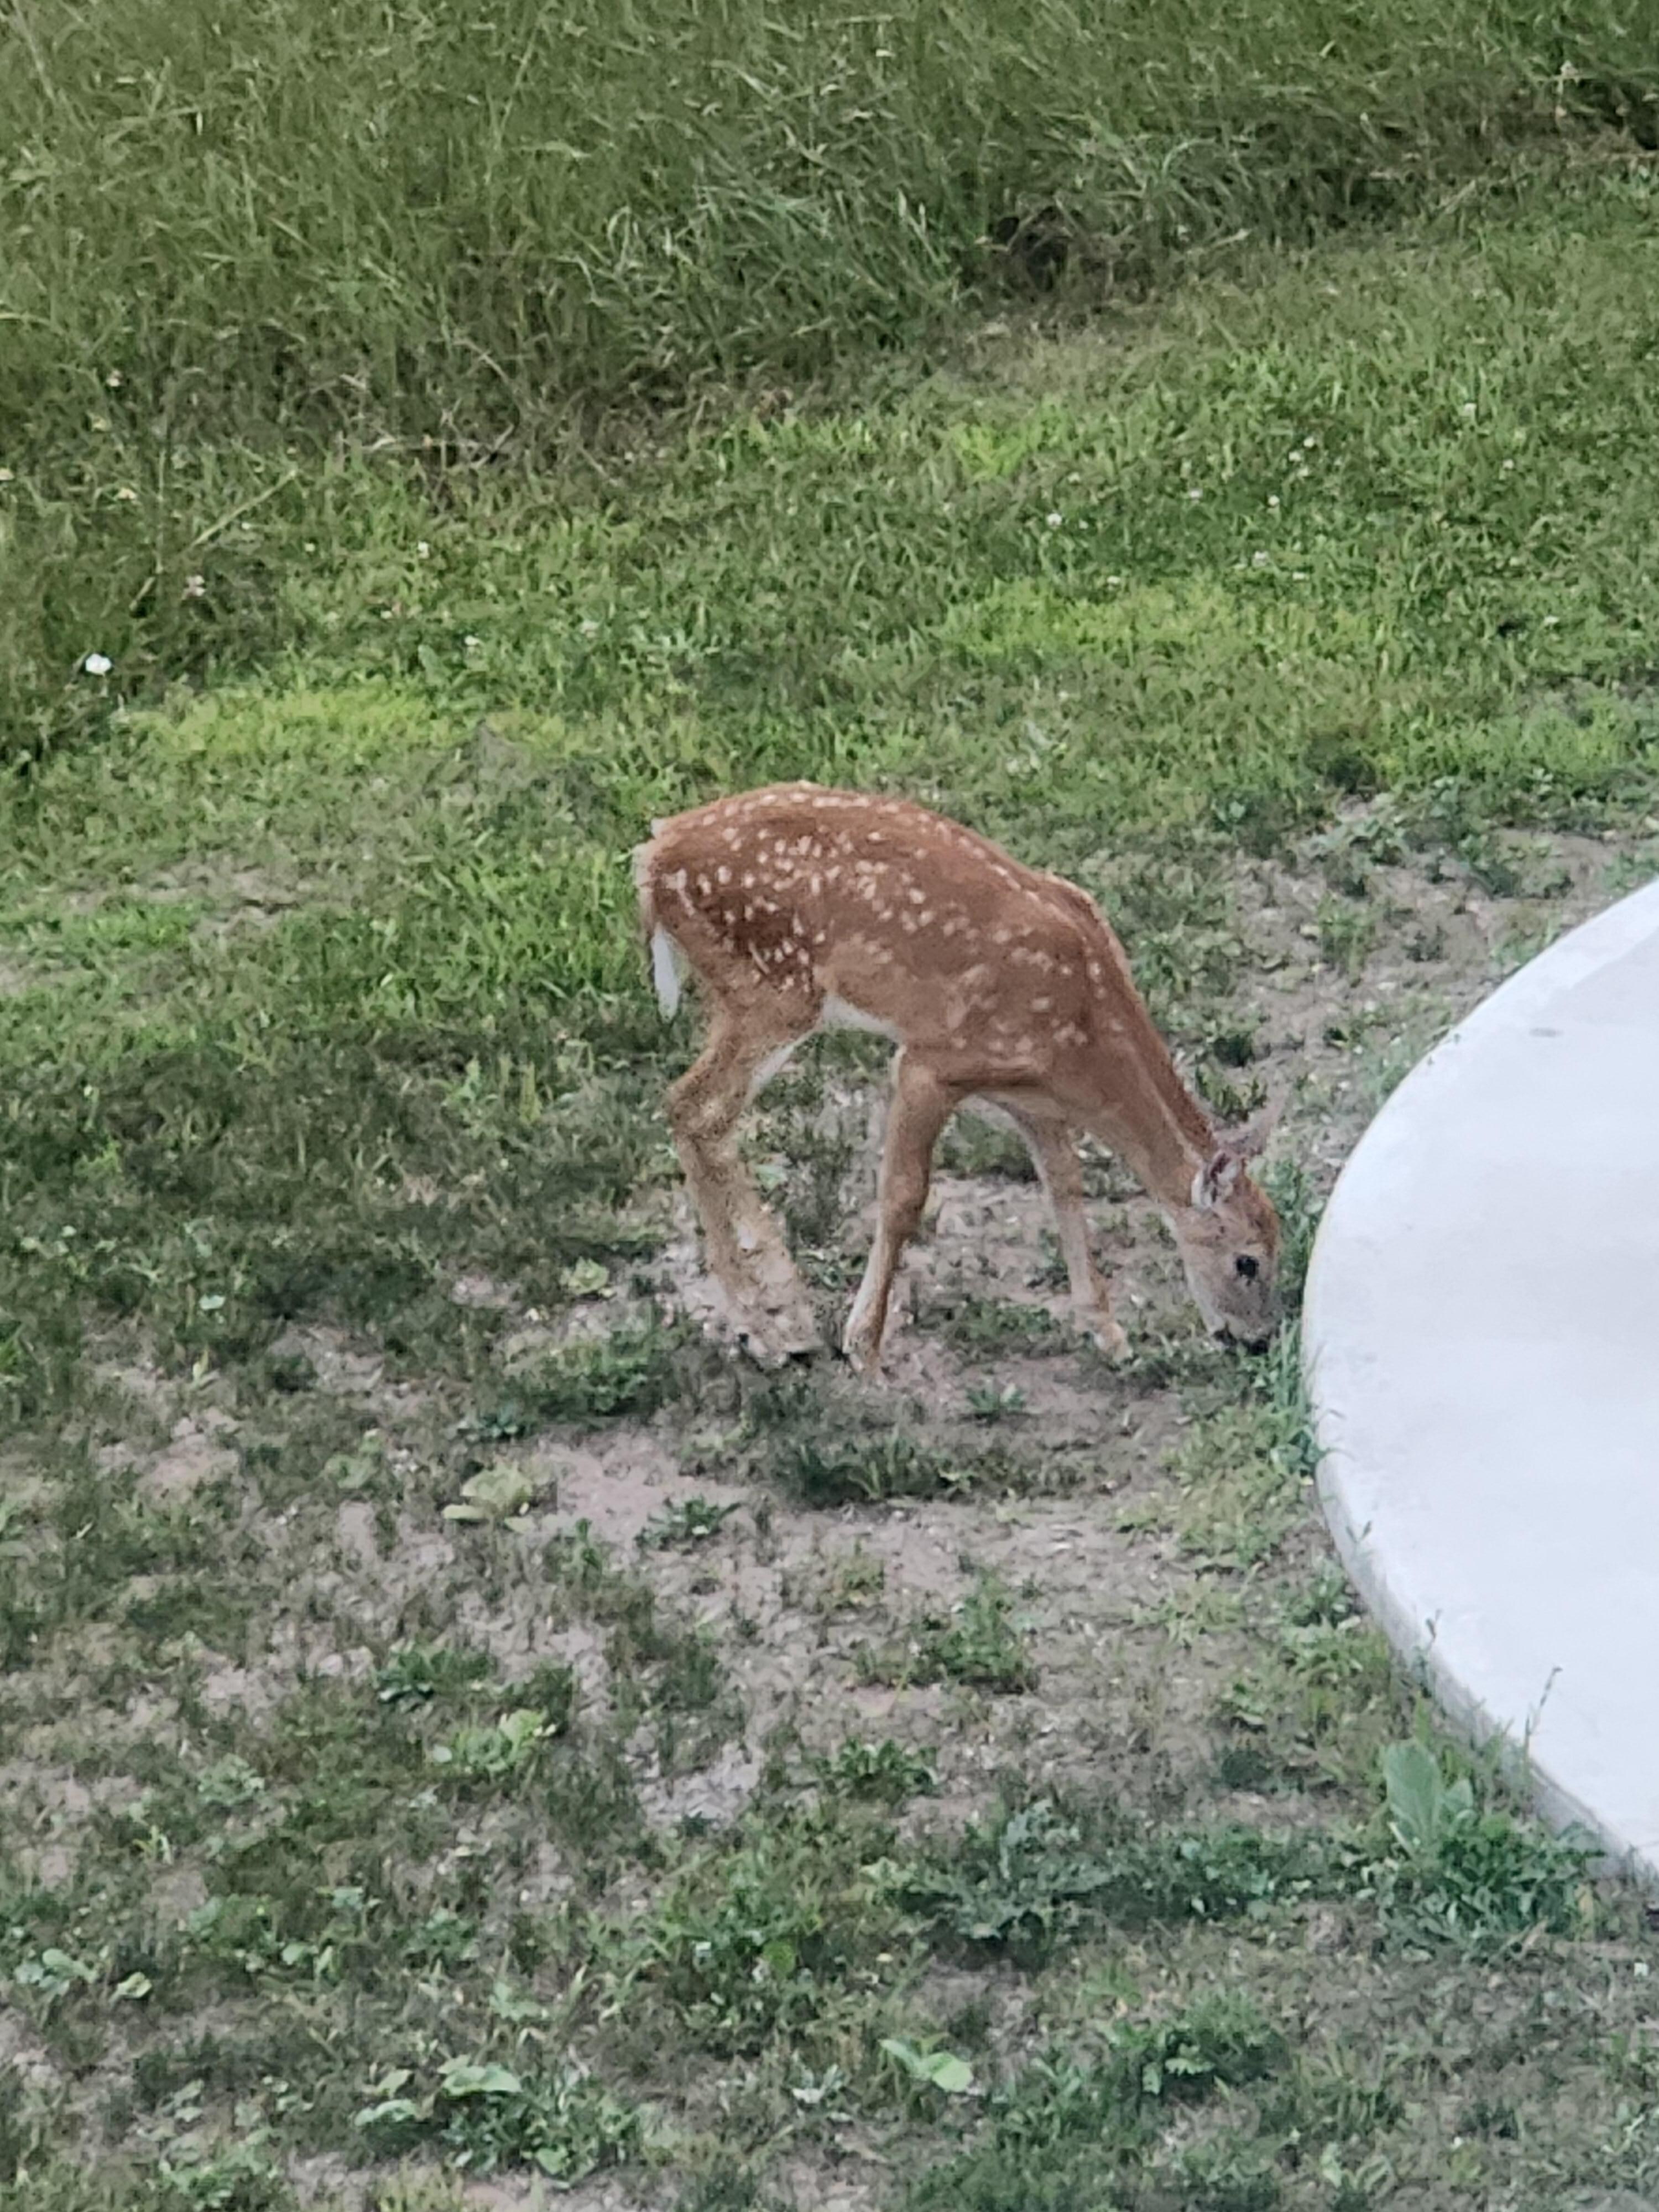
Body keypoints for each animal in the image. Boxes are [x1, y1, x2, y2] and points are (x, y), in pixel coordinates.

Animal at [634, 782, 1281, 1375]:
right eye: (1247, 1261)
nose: (1259, 1342)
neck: (1083, 1030)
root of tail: (653, 856)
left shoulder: (1034, 1096)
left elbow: (1065, 1186)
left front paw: (1107, 1330)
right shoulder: (931, 1062)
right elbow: (904, 1197)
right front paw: (865, 1346)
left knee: (699, 1115)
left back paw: (774, 1315)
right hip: (774, 990)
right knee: (694, 1107)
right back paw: (774, 1328)